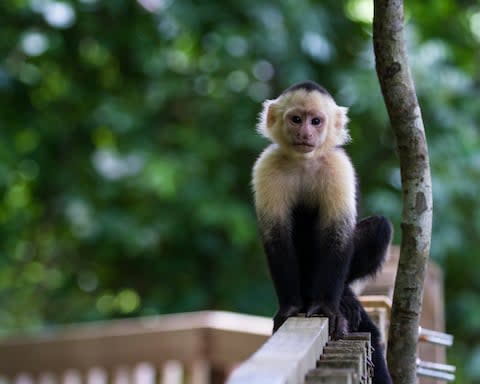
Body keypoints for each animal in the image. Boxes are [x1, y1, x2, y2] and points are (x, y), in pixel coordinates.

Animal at [253, 81, 392, 384]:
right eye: (296, 119)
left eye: (316, 121)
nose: (305, 133)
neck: (304, 161)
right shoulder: (267, 166)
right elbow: (277, 237)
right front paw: (290, 308)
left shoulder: (338, 167)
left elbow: (337, 236)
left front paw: (328, 309)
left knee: (380, 227)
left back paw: (344, 300)